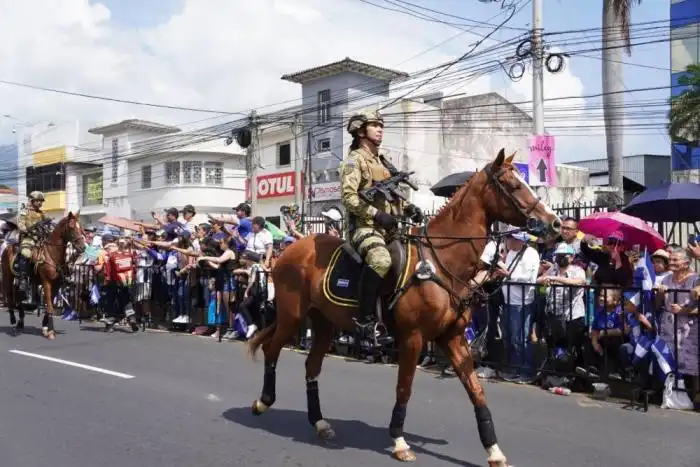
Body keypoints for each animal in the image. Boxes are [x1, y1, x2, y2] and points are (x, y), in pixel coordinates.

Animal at [1, 212, 86, 340]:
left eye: (80, 227)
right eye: (71, 227)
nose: (83, 247)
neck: (52, 254)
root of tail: (7, 247)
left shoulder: (56, 285)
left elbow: (49, 304)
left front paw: (46, 327)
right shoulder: (47, 283)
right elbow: (49, 305)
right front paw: (50, 330)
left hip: (20, 280)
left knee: (19, 296)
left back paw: (20, 322)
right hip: (7, 276)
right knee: (10, 294)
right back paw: (13, 318)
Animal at [247, 151, 564, 467]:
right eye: (513, 185)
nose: (557, 224)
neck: (442, 261)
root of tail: (291, 250)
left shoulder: (453, 338)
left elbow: (476, 390)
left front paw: (493, 449)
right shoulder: (412, 337)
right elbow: (405, 386)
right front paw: (399, 440)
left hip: (323, 323)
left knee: (311, 366)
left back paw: (319, 422)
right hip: (292, 317)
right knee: (271, 350)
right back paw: (263, 401)